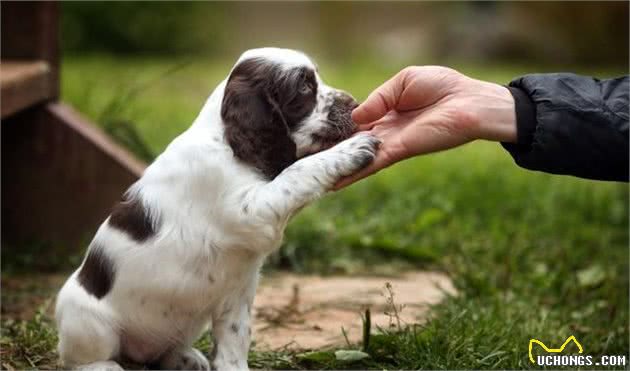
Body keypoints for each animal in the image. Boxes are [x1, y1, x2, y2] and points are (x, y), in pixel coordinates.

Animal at [54, 48, 380, 370]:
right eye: (303, 87)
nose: (355, 104)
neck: (226, 142)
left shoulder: (237, 294)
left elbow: (234, 344)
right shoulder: (250, 210)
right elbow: (297, 172)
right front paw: (350, 150)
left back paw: (186, 358)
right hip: (87, 321)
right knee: (83, 358)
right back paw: (107, 366)